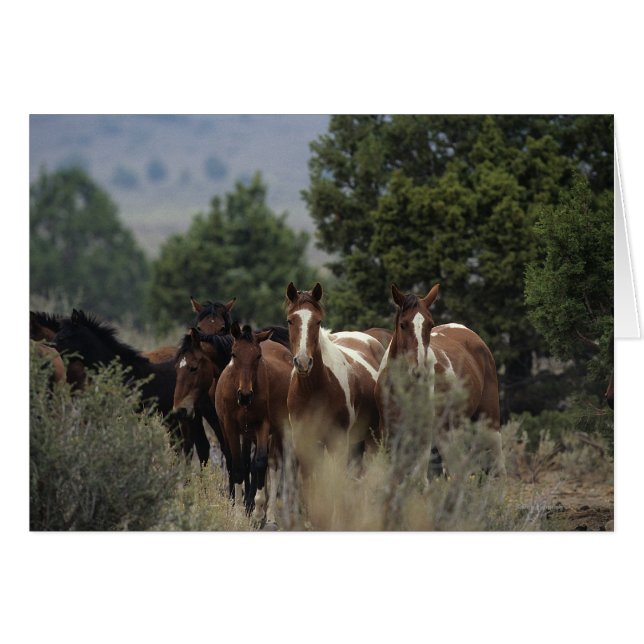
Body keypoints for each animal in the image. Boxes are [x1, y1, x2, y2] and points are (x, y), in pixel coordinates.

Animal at [215, 322, 292, 524]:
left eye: (257, 356)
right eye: (234, 354)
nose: (245, 395)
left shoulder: (263, 425)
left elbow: (260, 463)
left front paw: (257, 512)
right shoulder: (231, 427)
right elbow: (238, 465)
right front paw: (238, 513)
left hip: (278, 430)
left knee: (274, 464)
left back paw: (269, 516)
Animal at [285, 282, 385, 484]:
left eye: (318, 321)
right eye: (290, 321)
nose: (303, 362)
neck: (314, 390)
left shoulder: (337, 443)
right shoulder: (304, 444)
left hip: (372, 439)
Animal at [375, 284, 504, 477]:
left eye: (430, 325)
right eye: (403, 325)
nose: (419, 370)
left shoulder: (424, 433)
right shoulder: (389, 431)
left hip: (489, 422)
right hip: (449, 432)